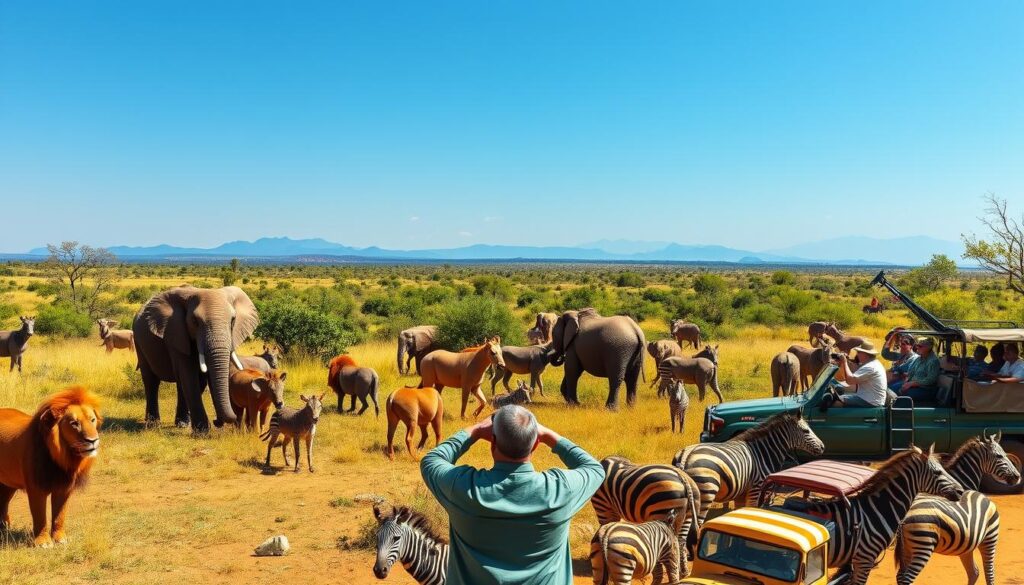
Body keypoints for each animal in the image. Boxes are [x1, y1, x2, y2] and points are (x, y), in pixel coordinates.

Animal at [0, 387, 101, 549]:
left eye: (92, 420)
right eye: (74, 423)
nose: (93, 440)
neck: (63, 458)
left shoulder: (64, 488)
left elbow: (60, 516)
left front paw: (60, 539)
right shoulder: (36, 488)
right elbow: (40, 516)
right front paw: (43, 542)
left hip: (8, 483)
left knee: (3, 502)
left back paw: (4, 529)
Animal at [132, 286, 258, 432]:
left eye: (233, 320)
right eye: (195, 321)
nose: (216, 421)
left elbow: (201, 379)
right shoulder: (175, 334)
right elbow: (189, 376)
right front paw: (202, 431)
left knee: (181, 384)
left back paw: (182, 423)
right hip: (138, 342)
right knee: (151, 381)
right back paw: (153, 424)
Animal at [671, 411, 823, 524]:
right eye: (806, 431)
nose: (822, 447)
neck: (763, 451)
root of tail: (686, 455)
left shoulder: (742, 491)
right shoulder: (757, 486)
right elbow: (751, 509)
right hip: (706, 491)